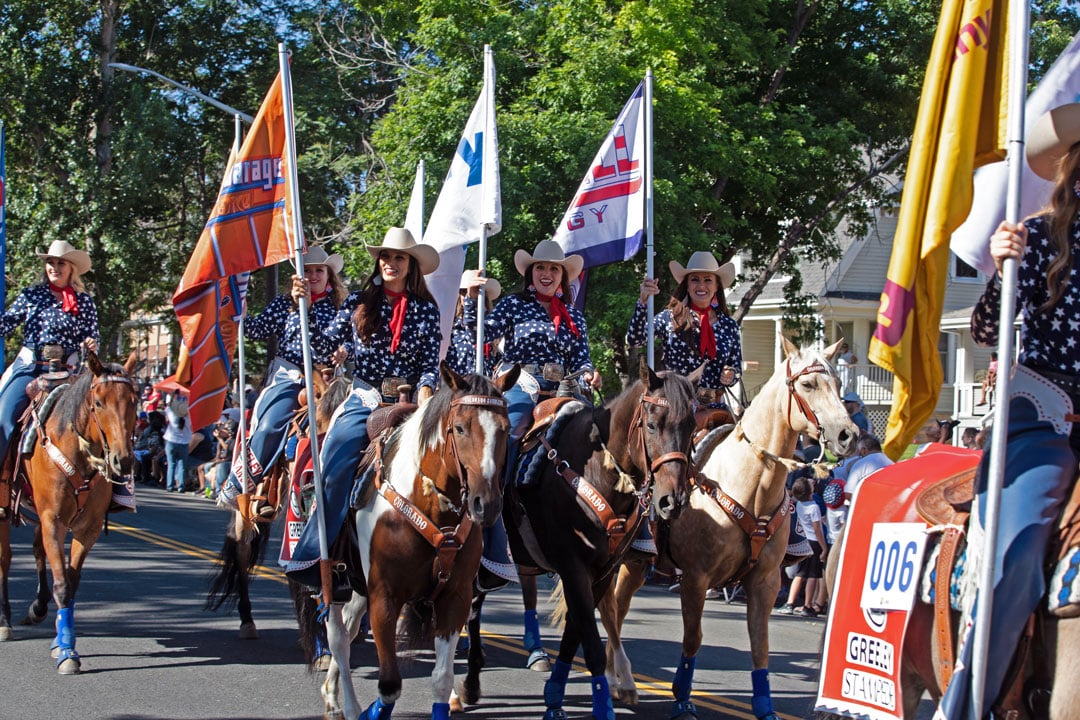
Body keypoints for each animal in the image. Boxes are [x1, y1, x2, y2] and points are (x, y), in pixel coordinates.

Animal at [0, 351, 139, 673]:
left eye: (135, 399)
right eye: (98, 402)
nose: (123, 461)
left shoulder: (87, 527)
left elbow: (71, 582)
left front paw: (61, 641)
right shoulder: (54, 520)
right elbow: (62, 584)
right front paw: (66, 652)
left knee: (37, 551)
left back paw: (37, 608)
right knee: (4, 560)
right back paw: (4, 621)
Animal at [308, 367, 518, 720]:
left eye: (506, 429)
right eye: (459, 428)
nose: (485, 505)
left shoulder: (455, 597)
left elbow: (441, 678)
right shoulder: (384, 597)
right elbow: (390, 685)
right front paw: (369, 712)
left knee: (349, 630)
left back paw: (332, 695)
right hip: (337, 583)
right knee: (338, 638)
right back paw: (346, 705)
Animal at [492, 362, 695, 720]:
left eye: (692, 425)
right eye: (652, 425)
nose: (673, 501)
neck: (593, 470)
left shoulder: (603, 570)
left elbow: (576, 633)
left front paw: (554, 696)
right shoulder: (573, 567)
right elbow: (589, 637)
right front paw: (602, 704)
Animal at [596, 338, 855, 720]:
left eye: (838, 384)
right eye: (808, 385)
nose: (848, 435)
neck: (751, 484)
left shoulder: (765, 581)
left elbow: (760, 644)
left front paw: (764, 706)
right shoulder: (696, 578)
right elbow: (693, 639)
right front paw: (683, 700)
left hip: (637, 563)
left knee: (618, 605)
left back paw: (616, 679)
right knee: (611, 606)